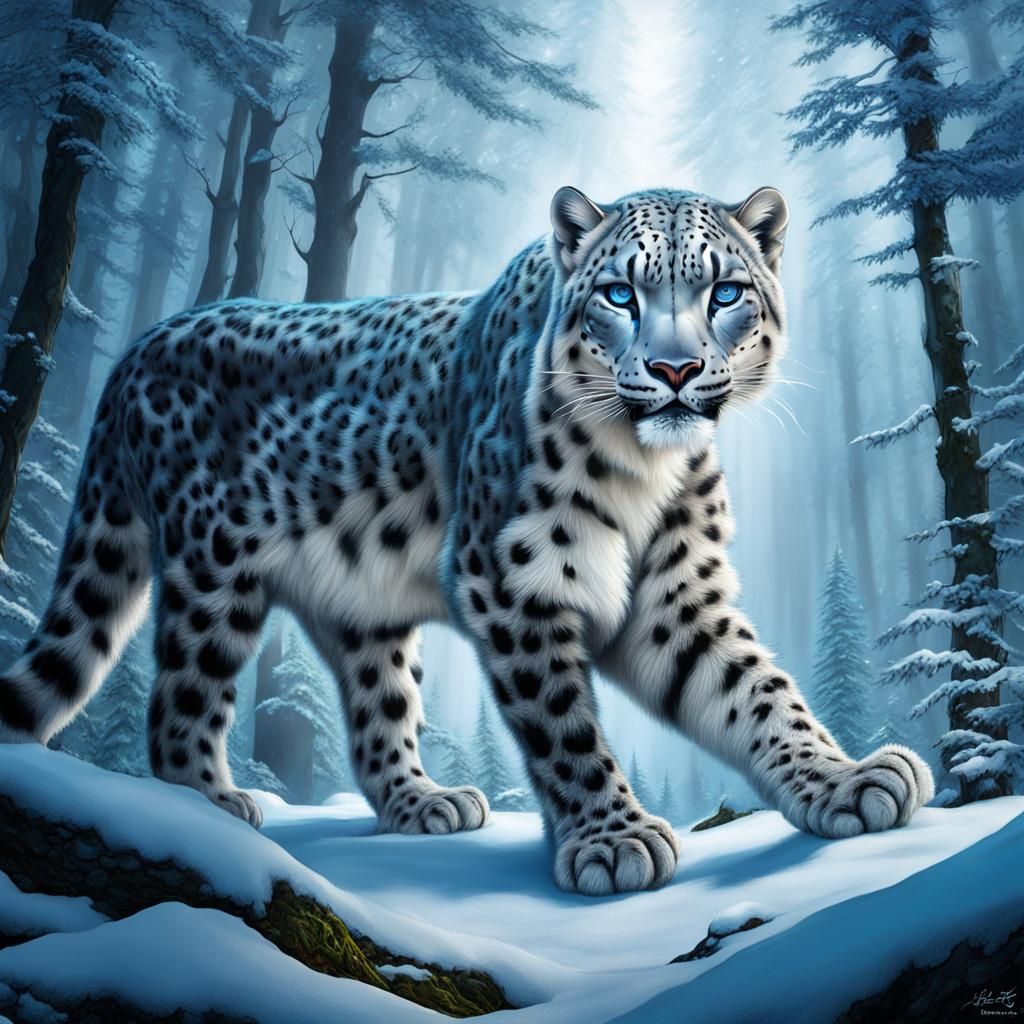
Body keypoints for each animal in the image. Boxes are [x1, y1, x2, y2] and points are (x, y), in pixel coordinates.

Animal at [0, 184, 934, 895]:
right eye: (620, 294)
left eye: (725, 292)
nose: (675, 371)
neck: (645, 469)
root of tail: (135, 351)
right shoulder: (515, 578)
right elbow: (563, 724)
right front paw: (612, 839)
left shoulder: (677, 597)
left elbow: (760, 694)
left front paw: (848, 781)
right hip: (212, 579)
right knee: (179, 705)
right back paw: (209, 814)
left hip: (366, 615)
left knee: (376, 715)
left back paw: (425, 803)